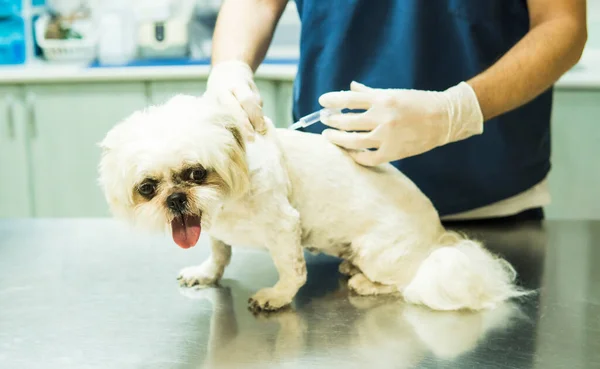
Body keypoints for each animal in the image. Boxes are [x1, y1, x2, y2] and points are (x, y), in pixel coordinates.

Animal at [96, 93, 528, 312]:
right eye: (147, 187)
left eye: (197, 174)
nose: (176, 199)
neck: (229, 199)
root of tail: (439, 238)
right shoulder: (213, 229)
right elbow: (219, 254)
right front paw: (206, 272)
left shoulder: (284, 226)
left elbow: (292, 272)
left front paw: (276, 297)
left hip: (379, 251)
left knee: (404, 282)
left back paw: (365, 281)